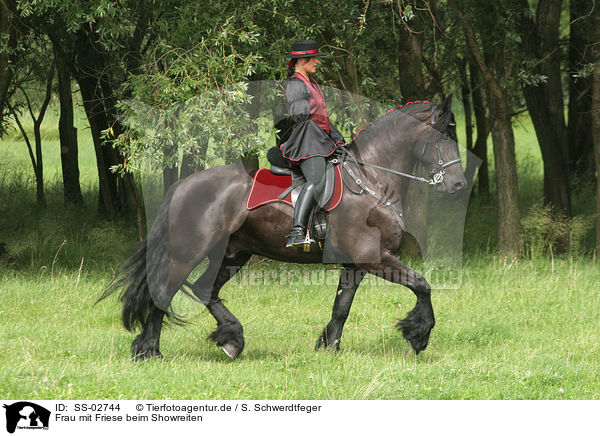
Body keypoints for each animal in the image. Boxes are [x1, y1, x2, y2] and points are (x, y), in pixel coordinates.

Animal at [104, 96, 468, 362]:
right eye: (444, 137)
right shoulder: (375, 257)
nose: (458, 185)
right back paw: (150, 351)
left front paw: (329, 347)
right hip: (188, 253)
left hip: (233, 254)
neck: (371, 180)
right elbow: (422, 285)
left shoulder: (355, 264)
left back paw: (230, 339)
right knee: (164, 293)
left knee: (205, 290)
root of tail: (183, 185)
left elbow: (342, 306)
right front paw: (418, 335)